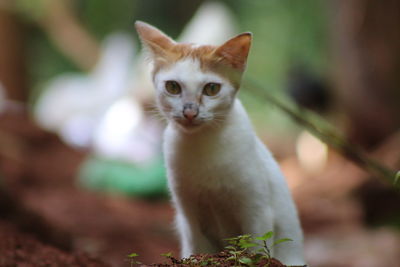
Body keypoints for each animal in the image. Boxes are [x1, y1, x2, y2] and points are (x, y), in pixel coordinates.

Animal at [136, 20, 304, 266]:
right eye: (173, 87)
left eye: (211, 89)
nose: (189, 112)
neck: (201, 145)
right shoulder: (190, 218)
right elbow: (197, 252)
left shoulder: (257, 212)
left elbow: (255, 251)